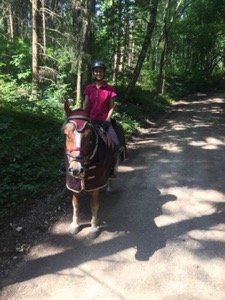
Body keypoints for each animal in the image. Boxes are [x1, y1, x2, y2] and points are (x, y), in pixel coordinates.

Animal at [61, 109, 127, 238]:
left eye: (89, 136)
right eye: (66, 135)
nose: (76, 169)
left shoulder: (95, 182)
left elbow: (94, 205)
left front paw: (93, 228)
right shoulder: (74, 183)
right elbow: (75, 204)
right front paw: (75, 225)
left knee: (112, 173)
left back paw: (109, 188)